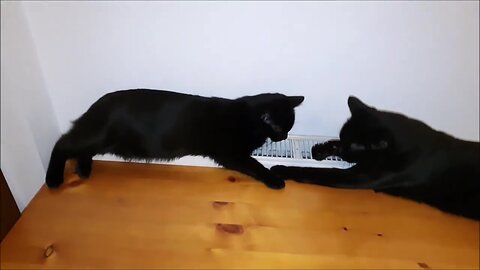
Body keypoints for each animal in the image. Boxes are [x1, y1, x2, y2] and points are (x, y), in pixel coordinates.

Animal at [46, 89, 304, 189]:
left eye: (289, 128)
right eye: (280, 127)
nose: (285, 135)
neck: (248, 118)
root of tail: (96, 105)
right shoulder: (230, 154)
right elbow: (255, 164)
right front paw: (274, 179)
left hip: (102, 140)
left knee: (81, 149)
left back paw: (83, 169)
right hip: (99, 136)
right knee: (62, 144)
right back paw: (53, 179)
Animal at [272, 96, 478, 220]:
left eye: (354, 147)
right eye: (343, 136)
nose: (345, 150)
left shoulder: (360, 176)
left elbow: (315, 172)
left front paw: (281, 168)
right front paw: (320, 149)